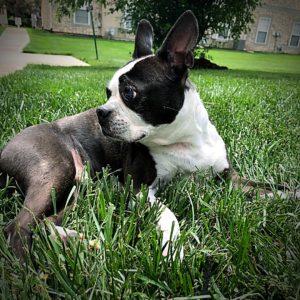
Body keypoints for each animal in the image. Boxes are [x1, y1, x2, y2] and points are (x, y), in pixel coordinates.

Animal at [0, 10, 298, 262]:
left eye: (129, 92)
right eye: (108, 93)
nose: (101, 112)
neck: (184, 141)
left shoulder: (229, 178)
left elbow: (272, 189)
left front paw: (292, 193)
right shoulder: (141, 190)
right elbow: (169, 214)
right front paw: (173, 248)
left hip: (79, 186)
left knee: (47, 222)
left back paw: (73, 239)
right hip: (55, 169)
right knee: (18, 226)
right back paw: (32, 274)